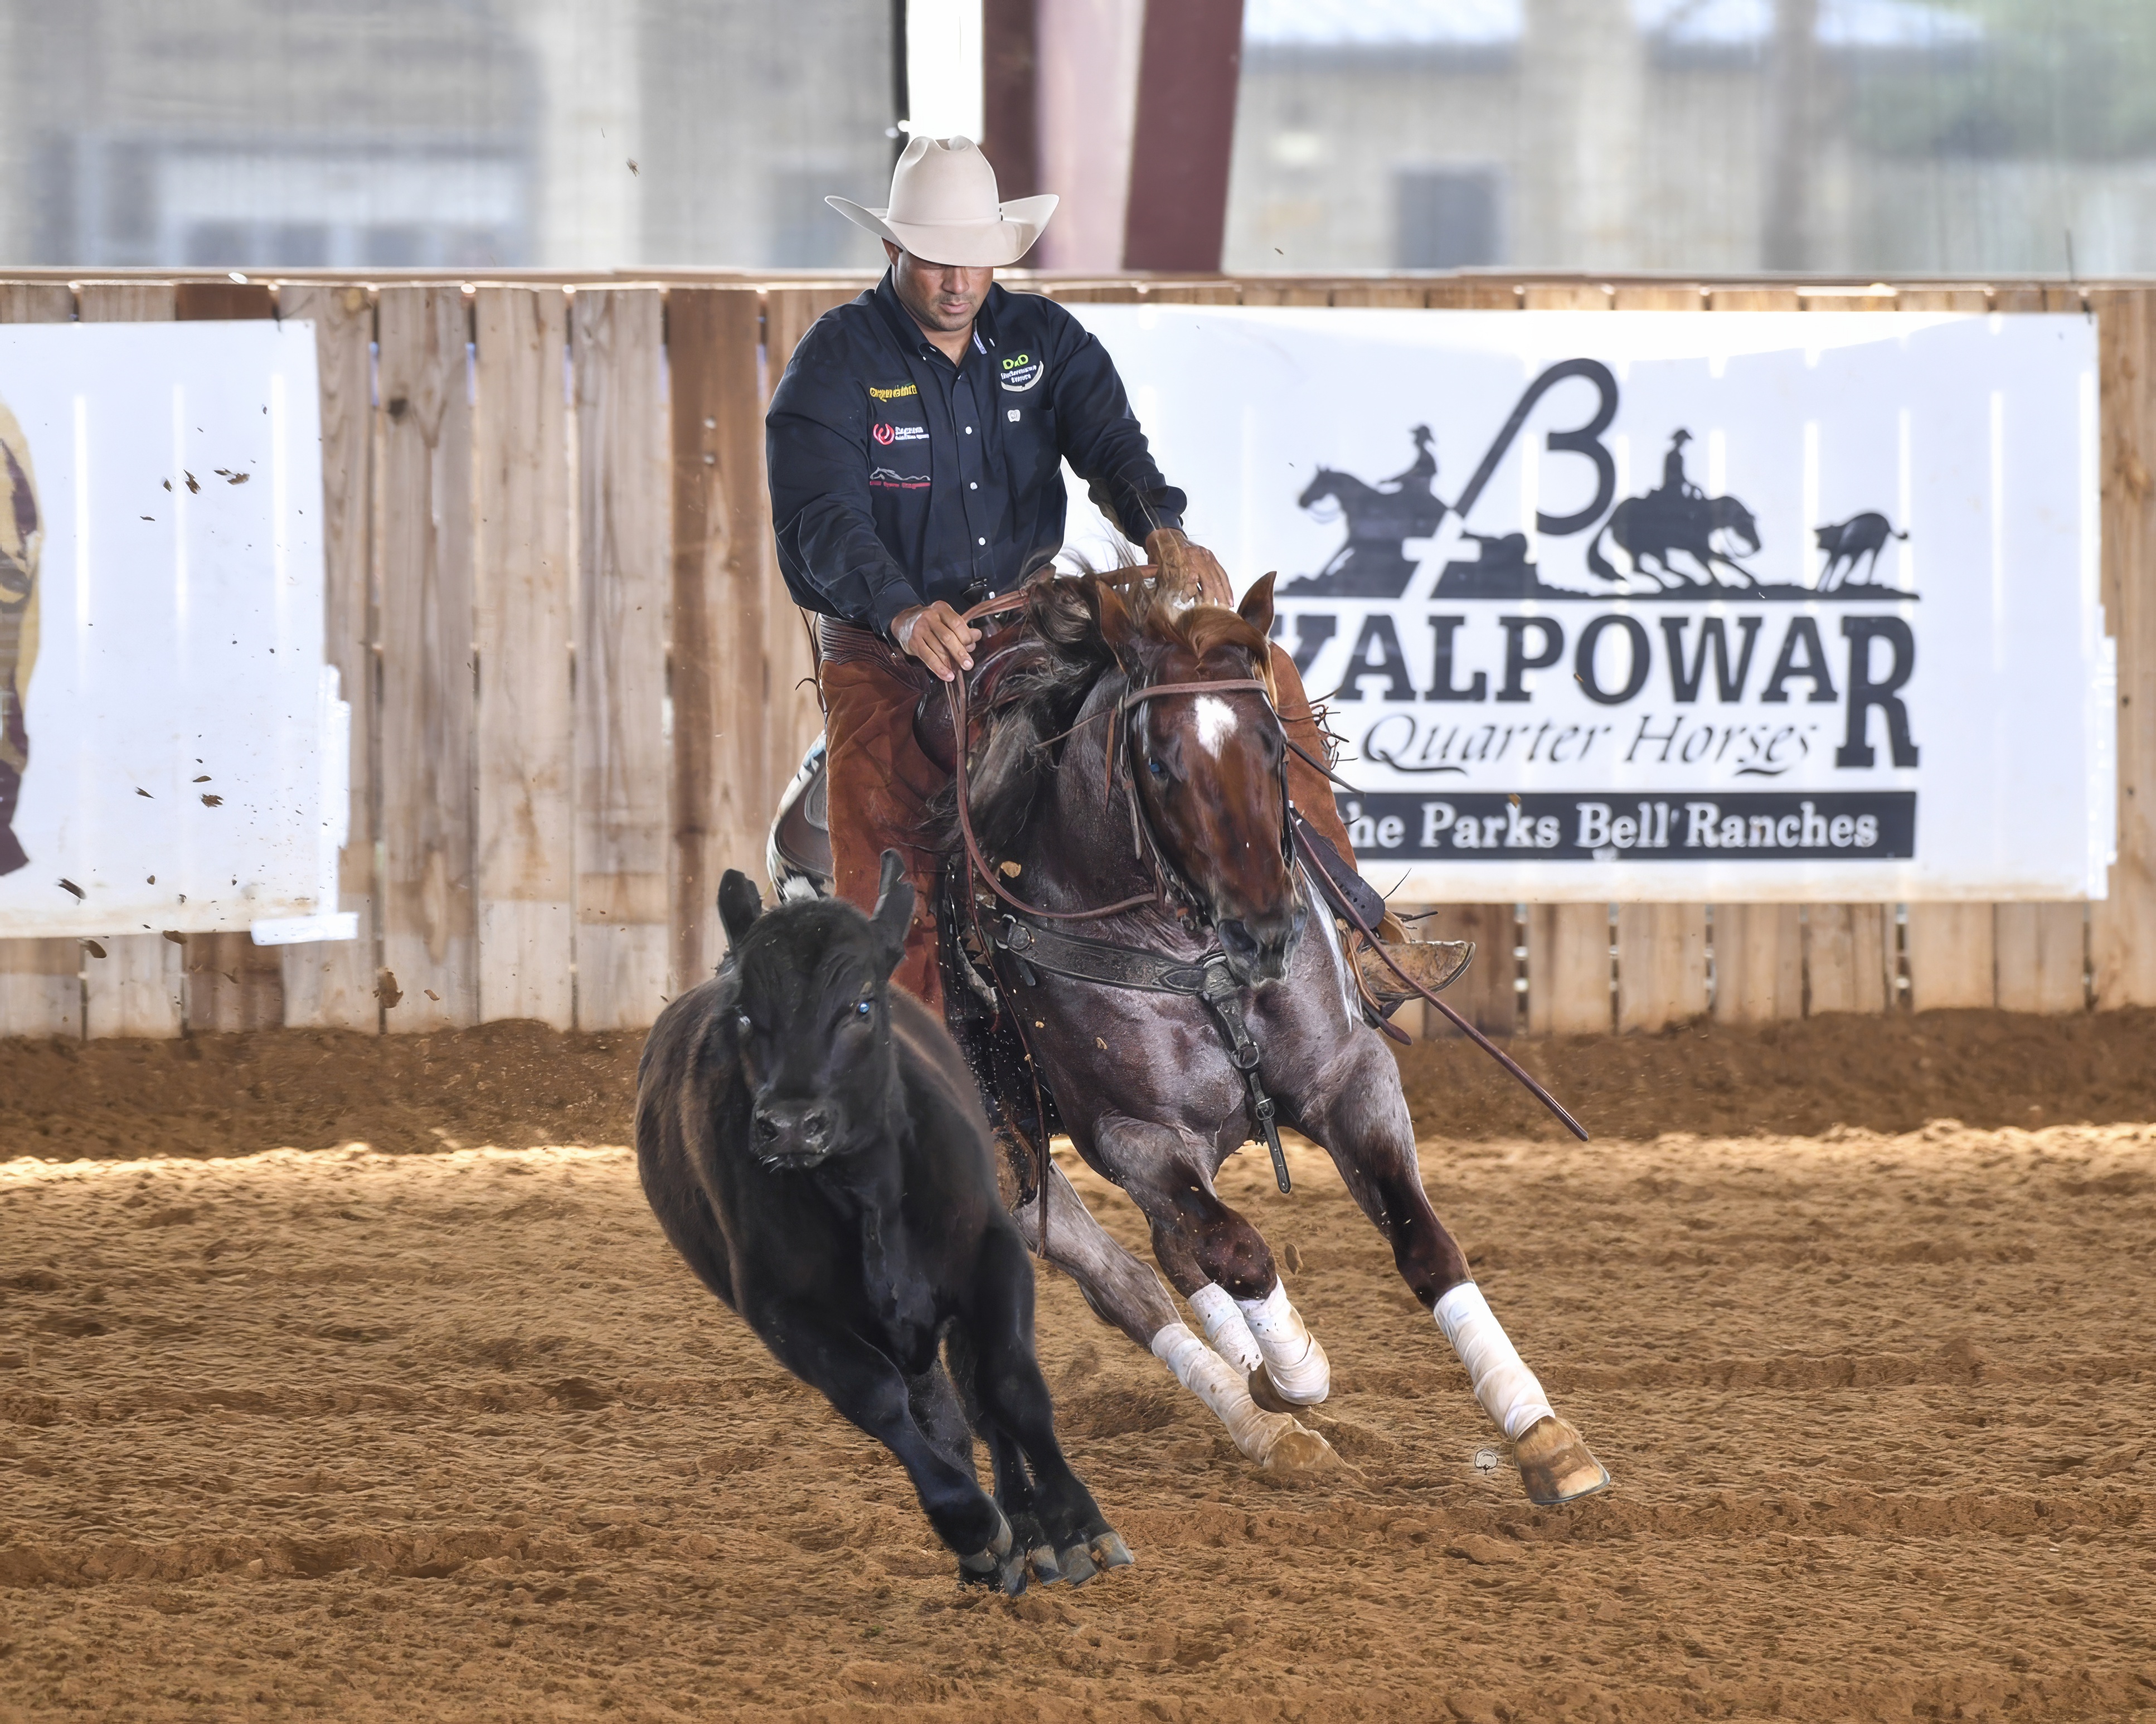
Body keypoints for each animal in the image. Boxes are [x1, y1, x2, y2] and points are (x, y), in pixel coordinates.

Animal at [634, 850, 1130, 1594]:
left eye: (861, 1005)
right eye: (746, 1015)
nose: (790, 1123)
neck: (865, 1193)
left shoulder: (994, 1254)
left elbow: (1009, 1386)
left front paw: (1077, 1524)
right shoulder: (783, 1314)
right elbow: (879, 1403)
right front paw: (971, 1525)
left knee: (980, 1405)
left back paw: (1030, 1531)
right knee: (941, 1419)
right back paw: (1000, 1542)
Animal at [927, 570, 1610, 1507]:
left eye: (1276, 746)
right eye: (1159, 763)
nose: (1266, 933)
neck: (1193, 954)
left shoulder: (1350, 1077)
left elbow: (1425, 1241)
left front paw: (1543, 1433)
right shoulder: (1135, 1140)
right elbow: (1238, 1250)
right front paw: (1288, 1376)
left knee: (1159, 1268)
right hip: (1014, 1167)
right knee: (1134, 1282)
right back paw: (1267, 1426)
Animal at [1587, 492, 1761, 590]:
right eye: (1745, 524)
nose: (1758, 545)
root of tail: (1612, 519)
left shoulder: (1699, 549)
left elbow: (1715, 560)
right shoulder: (1697, 549)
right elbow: (1719, 558)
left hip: (1654, 548)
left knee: (1660, 566)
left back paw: (1684, 581)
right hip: (1639, 547)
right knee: (1640, 568)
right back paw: (1673, 583)